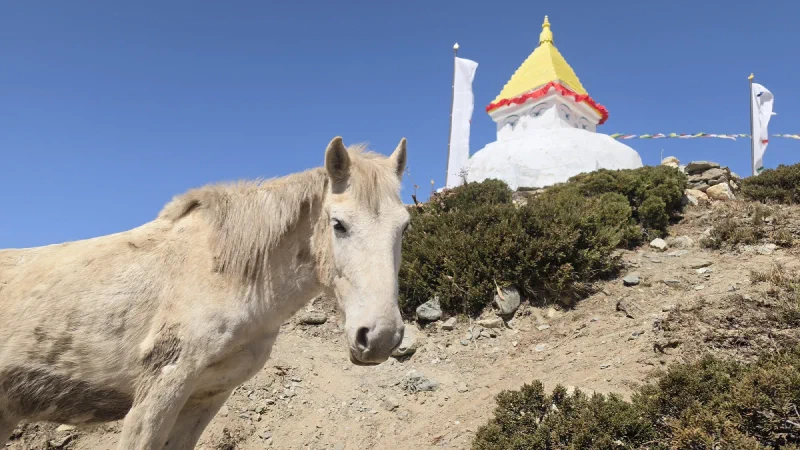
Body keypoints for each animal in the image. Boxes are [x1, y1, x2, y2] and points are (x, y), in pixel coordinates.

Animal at [0, 136, 410, 449]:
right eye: (338, 224)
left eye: (405, 226)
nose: (380, 338)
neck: (223, 274)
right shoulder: (160, 389)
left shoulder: (206, 397)